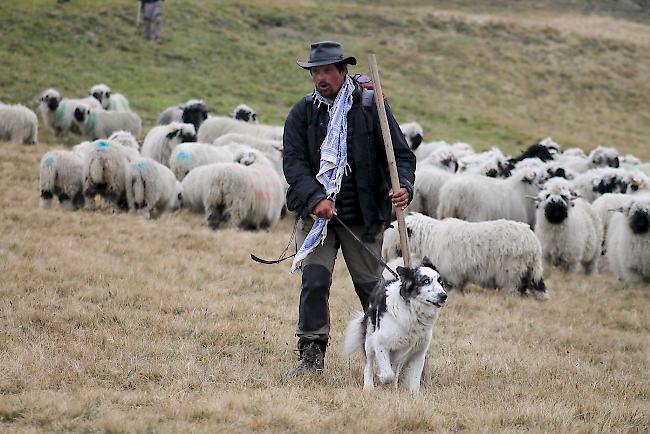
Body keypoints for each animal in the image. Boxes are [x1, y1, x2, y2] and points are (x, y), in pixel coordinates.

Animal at [344, 258, 446, 394]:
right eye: (426, 281)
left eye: (441, 282)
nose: (444, 296)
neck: (412, 310)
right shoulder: (380, 343)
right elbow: (388, 374)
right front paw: (383, 380)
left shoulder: (418, 352)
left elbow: (414, 380)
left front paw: (413, 395)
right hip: (370, 339)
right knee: (369, 364)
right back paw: (368, 387)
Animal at [380, 214, 548, 298]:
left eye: (393, 234)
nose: (385, 253)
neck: (428, 239)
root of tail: (534, 244)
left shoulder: (453, 273)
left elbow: (455, 287)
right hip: (526, 270)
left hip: (513, 270)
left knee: (515, 288)